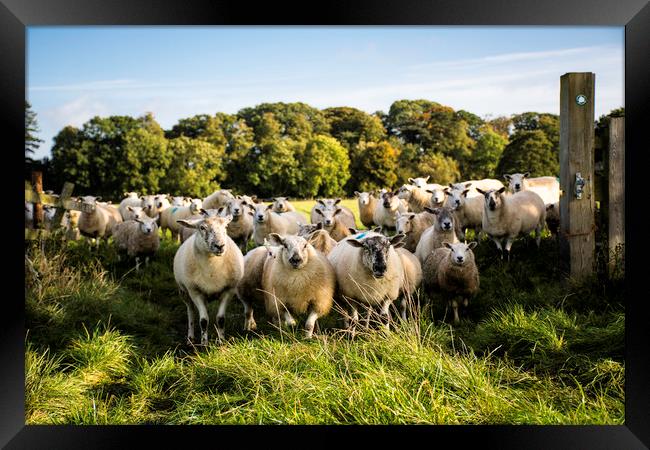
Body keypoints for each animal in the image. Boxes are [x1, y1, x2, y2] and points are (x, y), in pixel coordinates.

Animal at [172, 214, 243, 344]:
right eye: (202, 227)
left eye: (225, 226)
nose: (220, 246)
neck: (212, 268)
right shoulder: (195, 292)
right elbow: (204, 320)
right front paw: (204, 344)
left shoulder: (229, 290)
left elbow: (220, 319)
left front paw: (221, 342)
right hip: (184, 291)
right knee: (190, 312)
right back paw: (190, 338)